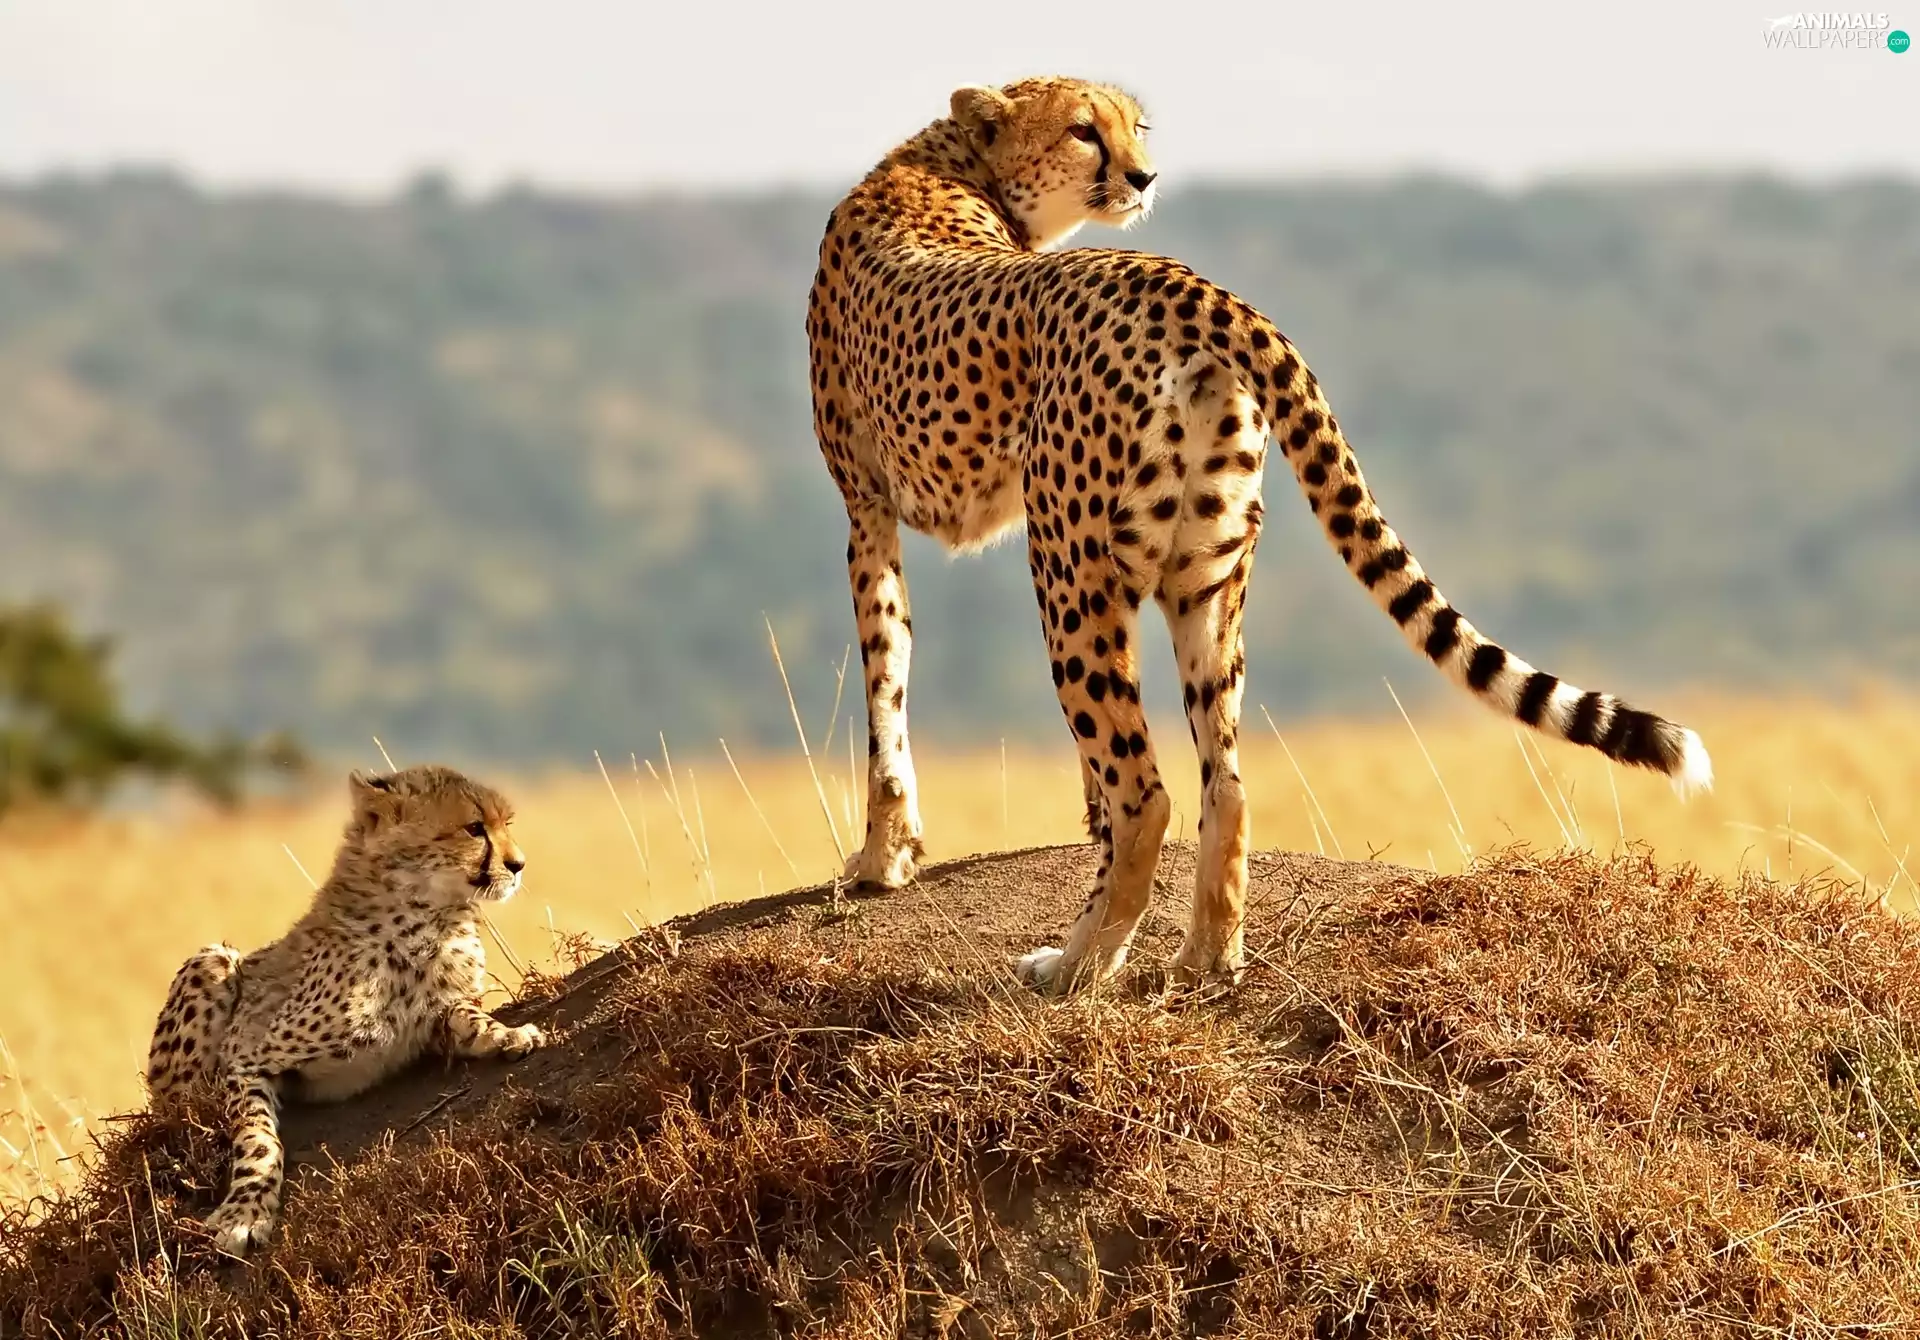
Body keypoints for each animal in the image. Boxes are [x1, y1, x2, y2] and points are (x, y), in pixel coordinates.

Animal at [144, 764, 546, 1257]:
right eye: (474, 828)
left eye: (506, 823)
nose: (518, 865)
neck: (426, 919)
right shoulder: (244, 1057)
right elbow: (259, 1139)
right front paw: (246, 1212)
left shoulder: (433, 1018)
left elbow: (461, 1015)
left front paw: (506, 1033)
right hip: (212, 961)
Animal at [804, 75, 1712, 994]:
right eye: (1083, 131)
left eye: (1134, 127)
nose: (1144, 176)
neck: (950, 165)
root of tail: (1175, 278)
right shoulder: (883, 508)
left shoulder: (865, 510)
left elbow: (885, 678)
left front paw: (881, 858)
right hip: (1204, 574)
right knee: (1226, 783)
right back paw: (1207, 956)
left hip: (1069, 568)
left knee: (1148, 792)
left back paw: (1078, 963)